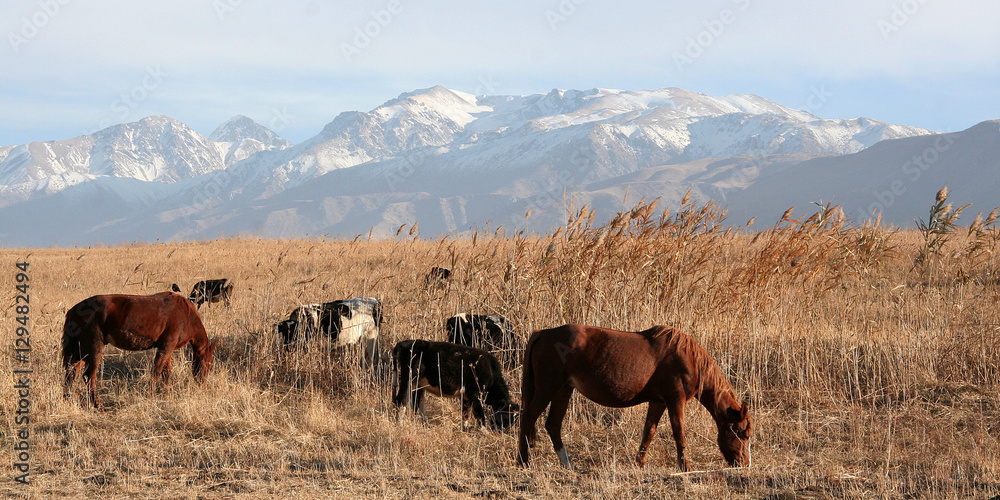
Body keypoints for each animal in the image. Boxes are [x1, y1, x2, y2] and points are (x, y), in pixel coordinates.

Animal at [62, 292, 217, 408]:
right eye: (208, 364)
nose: (202, 385)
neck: (186, 315)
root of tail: (73, 311)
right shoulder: (166, 347)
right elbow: (156, 371)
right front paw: (151, 396)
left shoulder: (169, 349)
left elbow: (166, 373)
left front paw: (166, 395)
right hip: (94, 349)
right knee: (89, 376)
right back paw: (97, 404)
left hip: (82, 352)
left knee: (71, 372)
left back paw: (67, 398)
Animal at [390, 338, 520, 432]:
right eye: (505, 417)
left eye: (514, 420)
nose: (503, 432)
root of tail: (403, 343)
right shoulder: (476, 395)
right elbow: (480, 416)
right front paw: (484, 432)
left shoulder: (466, 397)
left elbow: (465, 414)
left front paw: (465, 429)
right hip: (408, 380)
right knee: (401, 400)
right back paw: (400, 423)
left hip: (419, 384)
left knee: (417, 403)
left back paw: (425, 424)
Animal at [516, 324, 752, 472]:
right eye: (743, 434)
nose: (744, 463)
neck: (688, 359)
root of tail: (542, 334)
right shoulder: (675, 400)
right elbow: (679, 433)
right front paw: (685, 467)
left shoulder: (658, 402)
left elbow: (649, 431)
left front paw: (640, 463)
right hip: (548, 389)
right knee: (528, 418)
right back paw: (524, 462)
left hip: (563, 390)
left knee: (553, 425)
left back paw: (568, 464)